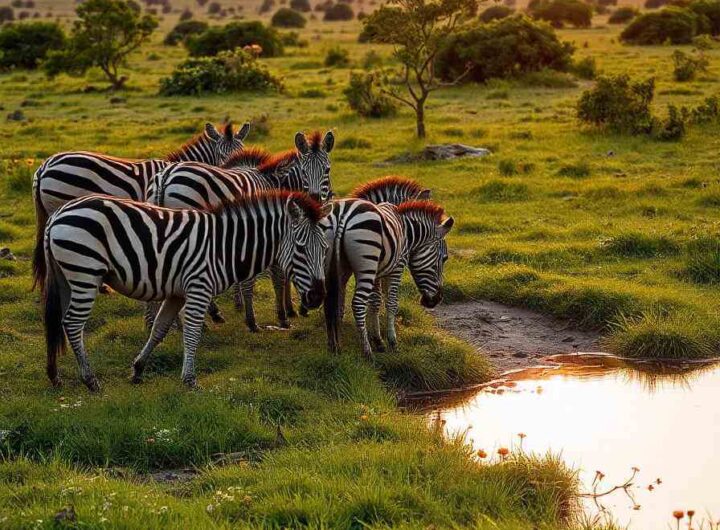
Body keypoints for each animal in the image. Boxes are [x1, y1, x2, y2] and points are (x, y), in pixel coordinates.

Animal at [41, 189, 330, 388]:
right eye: (301, 249)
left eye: (326, 249)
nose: (318, 297)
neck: (224, 246)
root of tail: (58, 214)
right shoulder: (199, 287)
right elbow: (192, 334)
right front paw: (190, 380)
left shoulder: (177, 293)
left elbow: (159, 330)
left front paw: (138, 369)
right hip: (85, 272)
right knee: (72, 323)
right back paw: (89, 380)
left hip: (67, 277)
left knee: (58, 321)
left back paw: (54, 375)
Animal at [148, 130, 334, 328]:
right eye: (305, 172)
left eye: (327, 170)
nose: (316, 200)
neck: (274, 182)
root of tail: (166, 175)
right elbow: (279, 276)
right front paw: (283, 315)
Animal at [326, 200, 456, 356]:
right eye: (444, 258)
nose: (437, 299)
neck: (408, 233)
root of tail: (343, 216)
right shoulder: (396, 268)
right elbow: (392, 303)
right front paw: (392, 341)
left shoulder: (377, 272)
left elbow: (375, 302)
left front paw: (378, 340)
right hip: (366, 265)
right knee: (357, 303)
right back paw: (367, 351)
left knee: (332, 301)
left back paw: (335, 346)